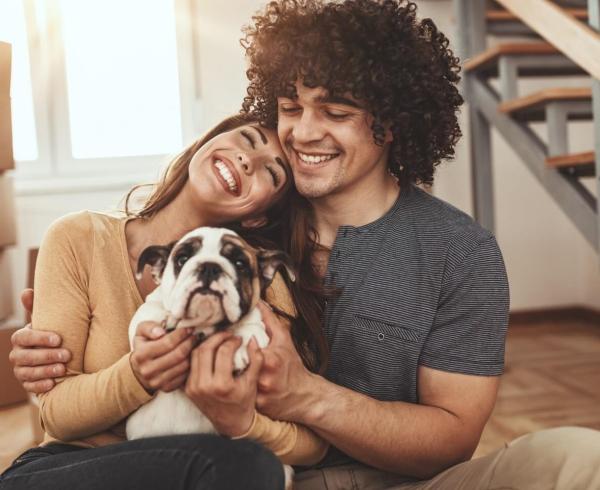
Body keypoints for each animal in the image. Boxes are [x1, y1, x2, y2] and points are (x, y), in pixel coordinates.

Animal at [126, 227, 296, 440]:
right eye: (182, 259)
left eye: (239, 264)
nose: (209, 266)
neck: (204, 324)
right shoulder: (146, 311)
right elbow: (149, 314)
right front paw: (169, 321)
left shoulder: (258, 324)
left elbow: (251, 330)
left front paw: (237, 350)